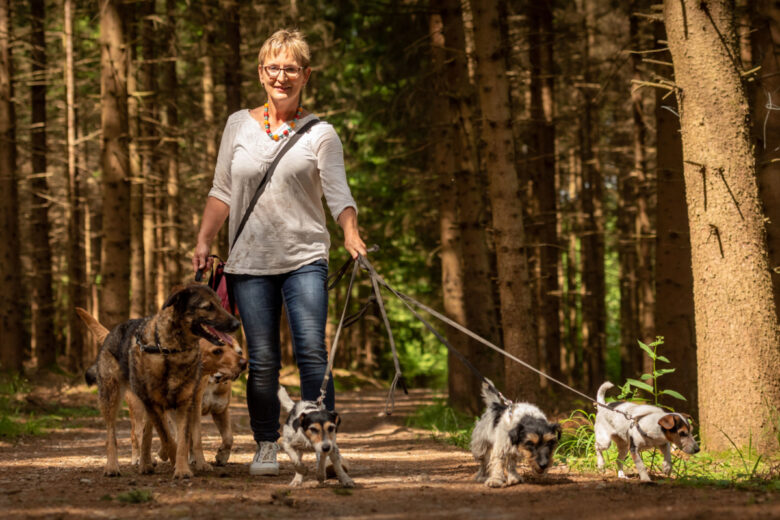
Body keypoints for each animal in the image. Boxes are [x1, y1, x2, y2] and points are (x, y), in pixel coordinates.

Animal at [78, 284, 241, 480]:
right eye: (208, 307)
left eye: (221, 304)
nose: (236, 324)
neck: (173, 351)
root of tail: (112, 332)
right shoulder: (158, 406)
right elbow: (169, 439)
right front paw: (174, 460)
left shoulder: (188, 405)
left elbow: (189, 439)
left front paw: (185, 468)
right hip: (114, 398)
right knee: (118, 435)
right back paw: (115, 465)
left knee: (146, 434)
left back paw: (146, 464)